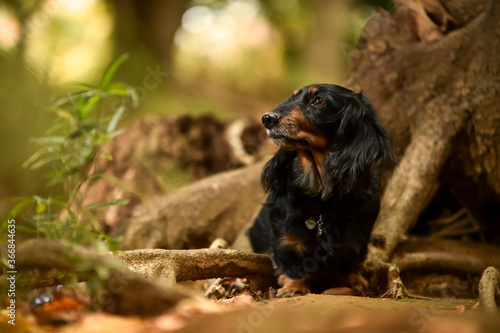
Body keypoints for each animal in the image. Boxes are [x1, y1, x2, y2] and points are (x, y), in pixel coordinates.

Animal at [247, 83, 394, 296]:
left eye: (319, 101)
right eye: (291, 98)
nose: (267, 118)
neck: (321, 190)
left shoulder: (355, 241)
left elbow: (349, 264)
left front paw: (352, 284)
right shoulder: (286, 239)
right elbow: (291, 260)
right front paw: (294, 287)